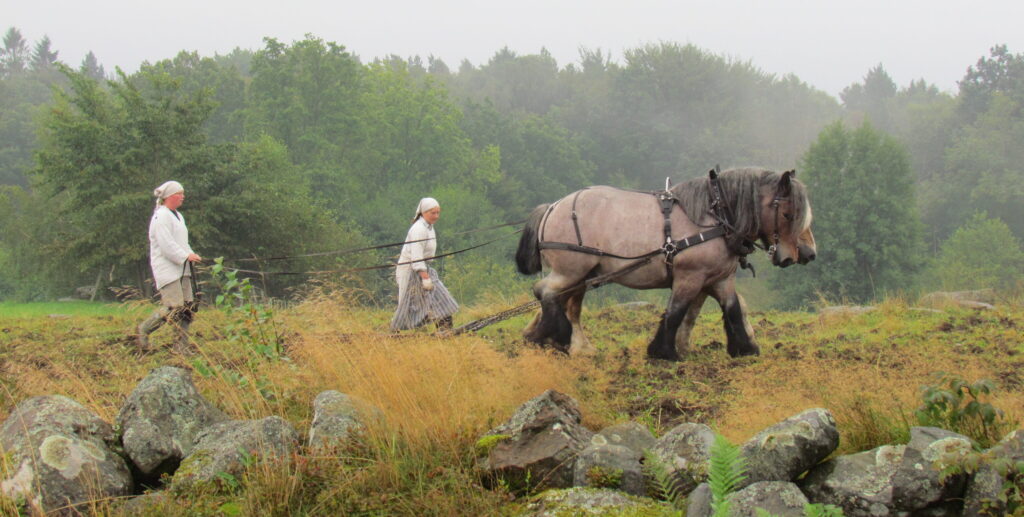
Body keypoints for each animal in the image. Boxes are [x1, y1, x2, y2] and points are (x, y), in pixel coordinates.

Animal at [516, 167, 819, 358]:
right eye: (789, 214)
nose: (808, 253)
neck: (715, 218)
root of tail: (553, 207)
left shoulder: (719, 278)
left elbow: (732, 309)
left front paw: (745, 349)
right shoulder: (690, 276)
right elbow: (675, 312)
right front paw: (664, 352)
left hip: (583, 274)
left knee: (567, 304)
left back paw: (570, 344)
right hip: (571, 270)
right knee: (545, 292)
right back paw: (550, 335)